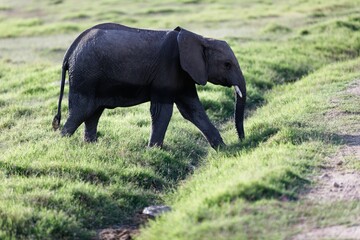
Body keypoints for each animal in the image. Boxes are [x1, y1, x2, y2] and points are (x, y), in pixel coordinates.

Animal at [52, 23, 245, 149]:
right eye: (227, 64)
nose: (242, 141)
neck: (200, 38)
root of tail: (69, 52)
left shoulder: (184, 75)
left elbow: (193, 110)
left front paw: (223, 149)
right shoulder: (168, 69)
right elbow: (162, 111)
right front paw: (153, 151)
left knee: (93, 112)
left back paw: (91, 146)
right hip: (85, 76)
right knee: (80, 111)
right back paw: (61, 143)